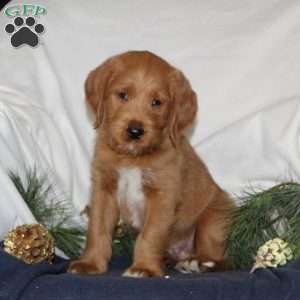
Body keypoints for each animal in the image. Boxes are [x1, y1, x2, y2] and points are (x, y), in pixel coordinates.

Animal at [68, 50, 234, 278]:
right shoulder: (103, 188)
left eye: (157, 102)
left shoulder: (163, 194)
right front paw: (90, 263)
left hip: (215, 217)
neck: (132, 157)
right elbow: (97, 229)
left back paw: (199, 263)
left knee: (220, 258)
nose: (135, 131)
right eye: (123, 95)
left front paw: (144, 267)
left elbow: (150, 235)